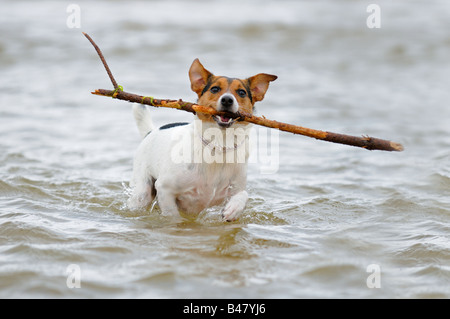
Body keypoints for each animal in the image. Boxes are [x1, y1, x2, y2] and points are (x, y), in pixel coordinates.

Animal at [125, 58, 276, 221]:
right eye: (215, 89)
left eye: (241, 92)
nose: (227, 100)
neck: (219, 144)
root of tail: (150, 131)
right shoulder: (165, 188)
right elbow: (172, 215)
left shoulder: (235, 187)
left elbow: (243, 194)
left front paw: (233, 209)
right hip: (143, 191)